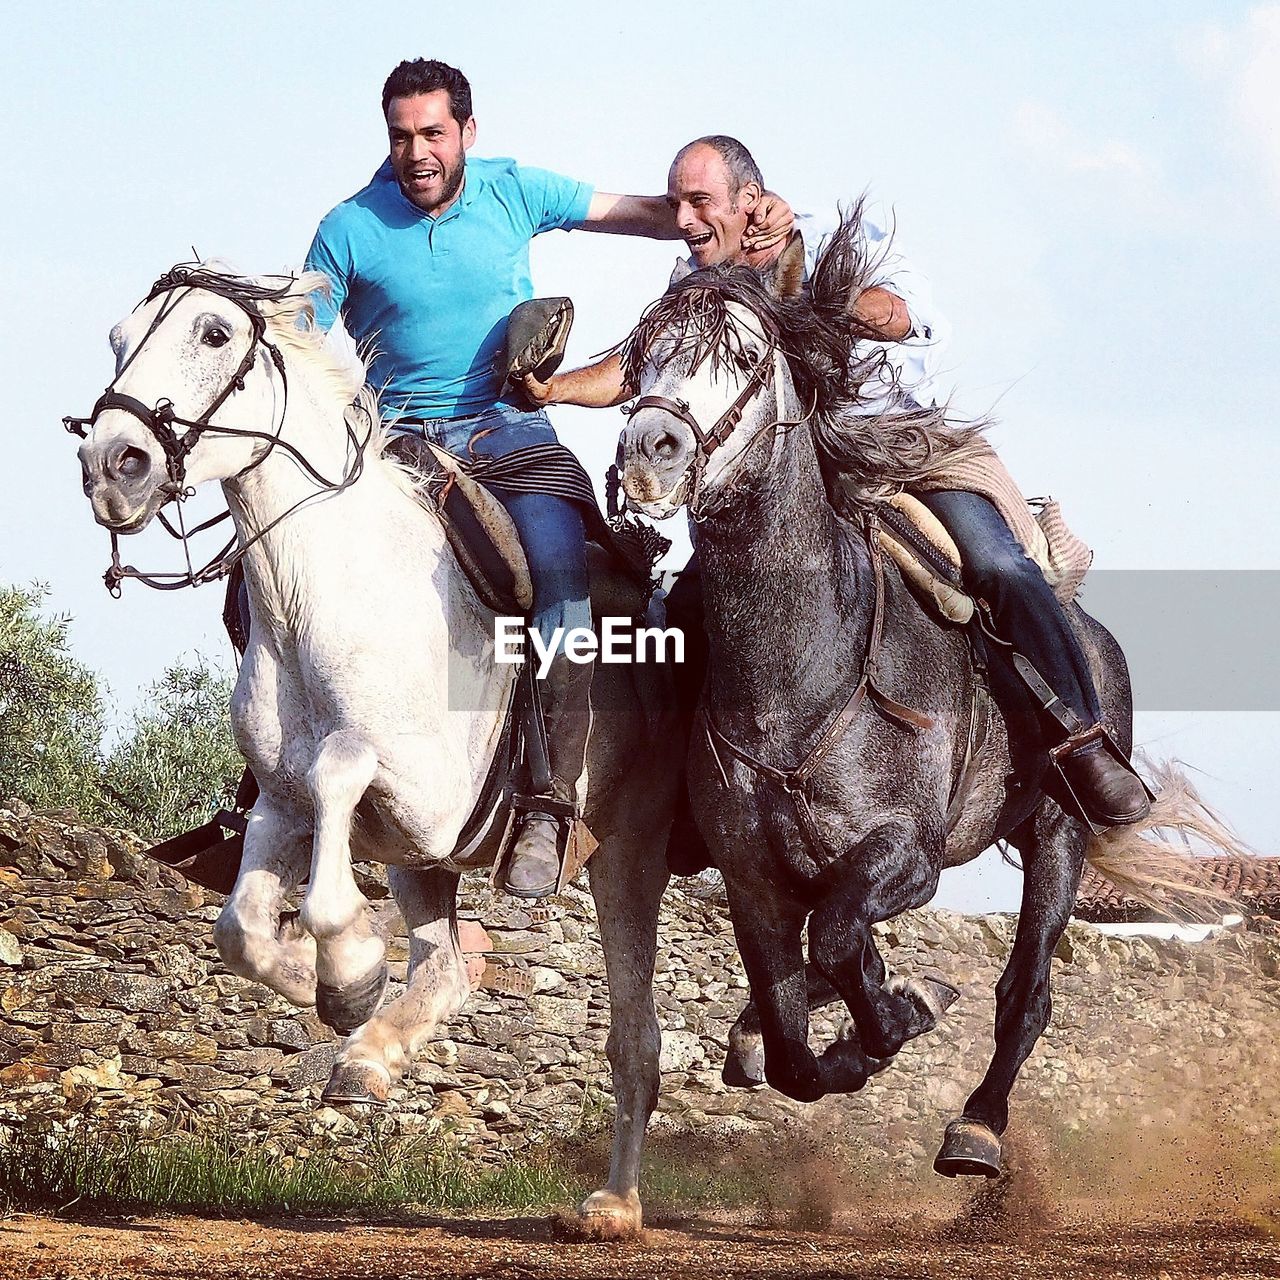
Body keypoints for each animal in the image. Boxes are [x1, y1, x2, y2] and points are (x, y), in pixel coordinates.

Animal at [76, 264, 680, 1233]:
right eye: (117, 337)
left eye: (214, 333)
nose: (112, 464)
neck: (323, 590)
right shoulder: (284, 804)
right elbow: (239, 927)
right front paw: (316, 984)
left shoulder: (423, 795)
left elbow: (340, 775)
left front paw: (351, 970)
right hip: (421, 866)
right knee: (448, 969)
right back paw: (369, 1057)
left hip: (626, 853)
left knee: (635, 1038)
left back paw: (613, 1208)